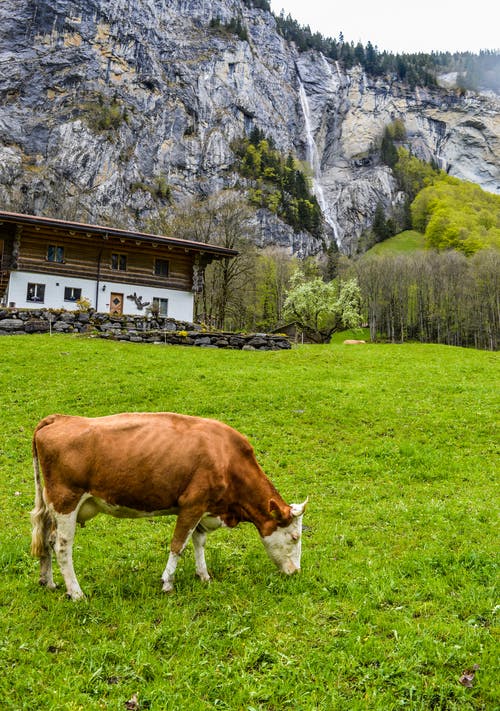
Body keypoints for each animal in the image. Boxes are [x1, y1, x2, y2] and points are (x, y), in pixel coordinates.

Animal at [31, 412, 306, 600]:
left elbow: (199, 542)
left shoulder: (204, 508)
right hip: (66, 501)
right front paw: (167, 582)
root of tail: (59, 418)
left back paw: (48, 581)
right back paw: (76, 593)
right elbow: (178, 545)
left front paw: (204, 576)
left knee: (46, 539)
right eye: (294, 537)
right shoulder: (192, 505)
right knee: (62, 547)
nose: (296, 572)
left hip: (51, 505)